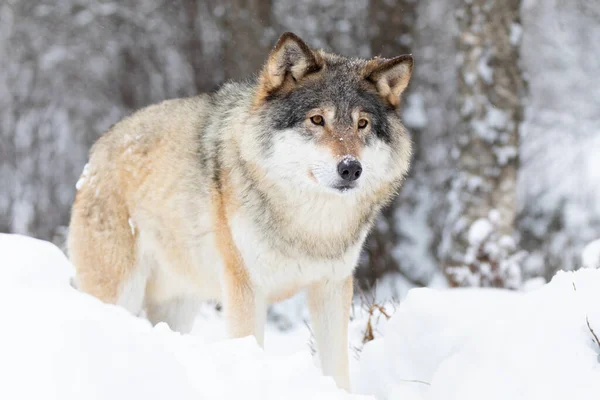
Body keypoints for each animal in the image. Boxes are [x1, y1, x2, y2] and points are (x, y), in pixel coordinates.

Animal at [67, 32, 412, 390]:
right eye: (317, 119)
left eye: (362, 124)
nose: (350, 168)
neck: (309, 226)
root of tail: (98, 150)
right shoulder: (245, 289)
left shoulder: (331, 288)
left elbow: (337, 368)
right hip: (120, 293)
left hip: (178, 304)